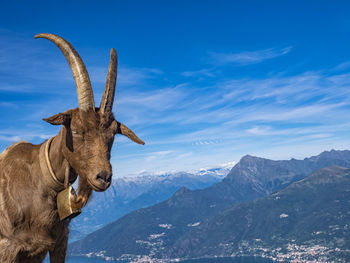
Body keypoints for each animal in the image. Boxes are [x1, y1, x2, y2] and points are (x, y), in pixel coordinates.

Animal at [0, 34, 144, 262]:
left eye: (113, 133)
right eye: (75, 130)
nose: (103, 177)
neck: (40, 181)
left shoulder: (57, 242)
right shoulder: (8, 247)